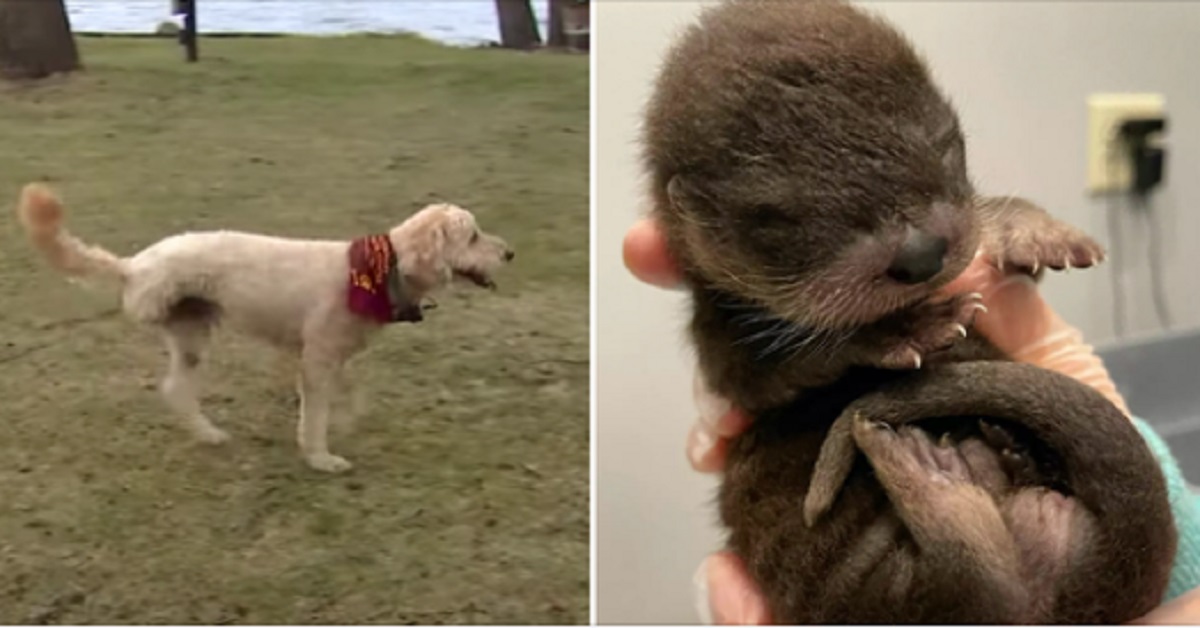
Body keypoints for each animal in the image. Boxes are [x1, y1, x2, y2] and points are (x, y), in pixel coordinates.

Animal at [18, 182, 513, 470]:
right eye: (472, 236)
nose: (510, 253)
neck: (381, 269)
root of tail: (135, 266)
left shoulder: (336, 357)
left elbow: (348, 396)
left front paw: (346, 422)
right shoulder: (317, 360)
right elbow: (315, 414)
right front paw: (320, 456)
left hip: (191, 333)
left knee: (176, 388)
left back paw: (207, 433)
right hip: (175, 319)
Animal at [643, 0, 1176, 624]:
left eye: (946, 145)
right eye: (777, 219)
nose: (921, 252)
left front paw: (1030, 229)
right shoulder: (718, 338)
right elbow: (780, 364)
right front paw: (908, 329)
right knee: (976, 576)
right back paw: (926, 473)